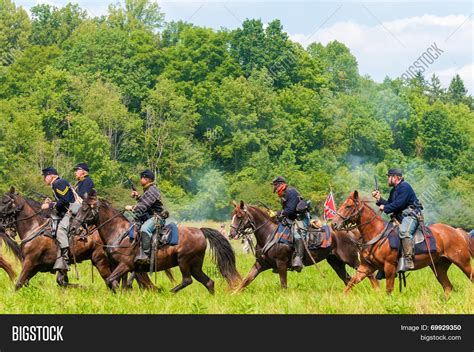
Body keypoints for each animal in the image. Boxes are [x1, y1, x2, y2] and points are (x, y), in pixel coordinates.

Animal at [0, 188, 154, 290]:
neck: (34, 228)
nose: (5, 229)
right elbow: (58, 282)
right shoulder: (36, 267)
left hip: (100, 261)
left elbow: (18, 283)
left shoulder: (30, 263)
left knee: (112, 281)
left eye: (5, 201)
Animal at [67, 194, 241, 292]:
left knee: (187, 280)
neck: (118, 232)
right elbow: (120, 284)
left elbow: (112, 281)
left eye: (85, 210)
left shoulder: (125, 265)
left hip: (184, 261)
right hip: (195, 266)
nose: (73, 228)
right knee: (209, 282)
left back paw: (169, 292)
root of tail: (200, 231)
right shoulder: (121, 266)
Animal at [230, 201, 378, 292]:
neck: (269, 233)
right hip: (336, 263)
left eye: (239, 216)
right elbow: (246, 281)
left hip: (351, 260)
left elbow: (283, 285)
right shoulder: (260, 264)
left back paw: (376, 290)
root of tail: (351, 232)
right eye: (233, 215)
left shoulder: (281, 264)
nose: (231, 234)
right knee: (348, 280)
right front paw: (233, 294)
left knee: (367, 274)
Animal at [332, 191, 472, 296]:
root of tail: (457, 231)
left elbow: (389, 290)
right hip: (439, 266)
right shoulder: (366, 267)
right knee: (447, 287)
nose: (333, 223)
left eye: (348, 206)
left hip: (463, 262)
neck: (377, 234)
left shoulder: (389, 267)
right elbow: (351, 283)